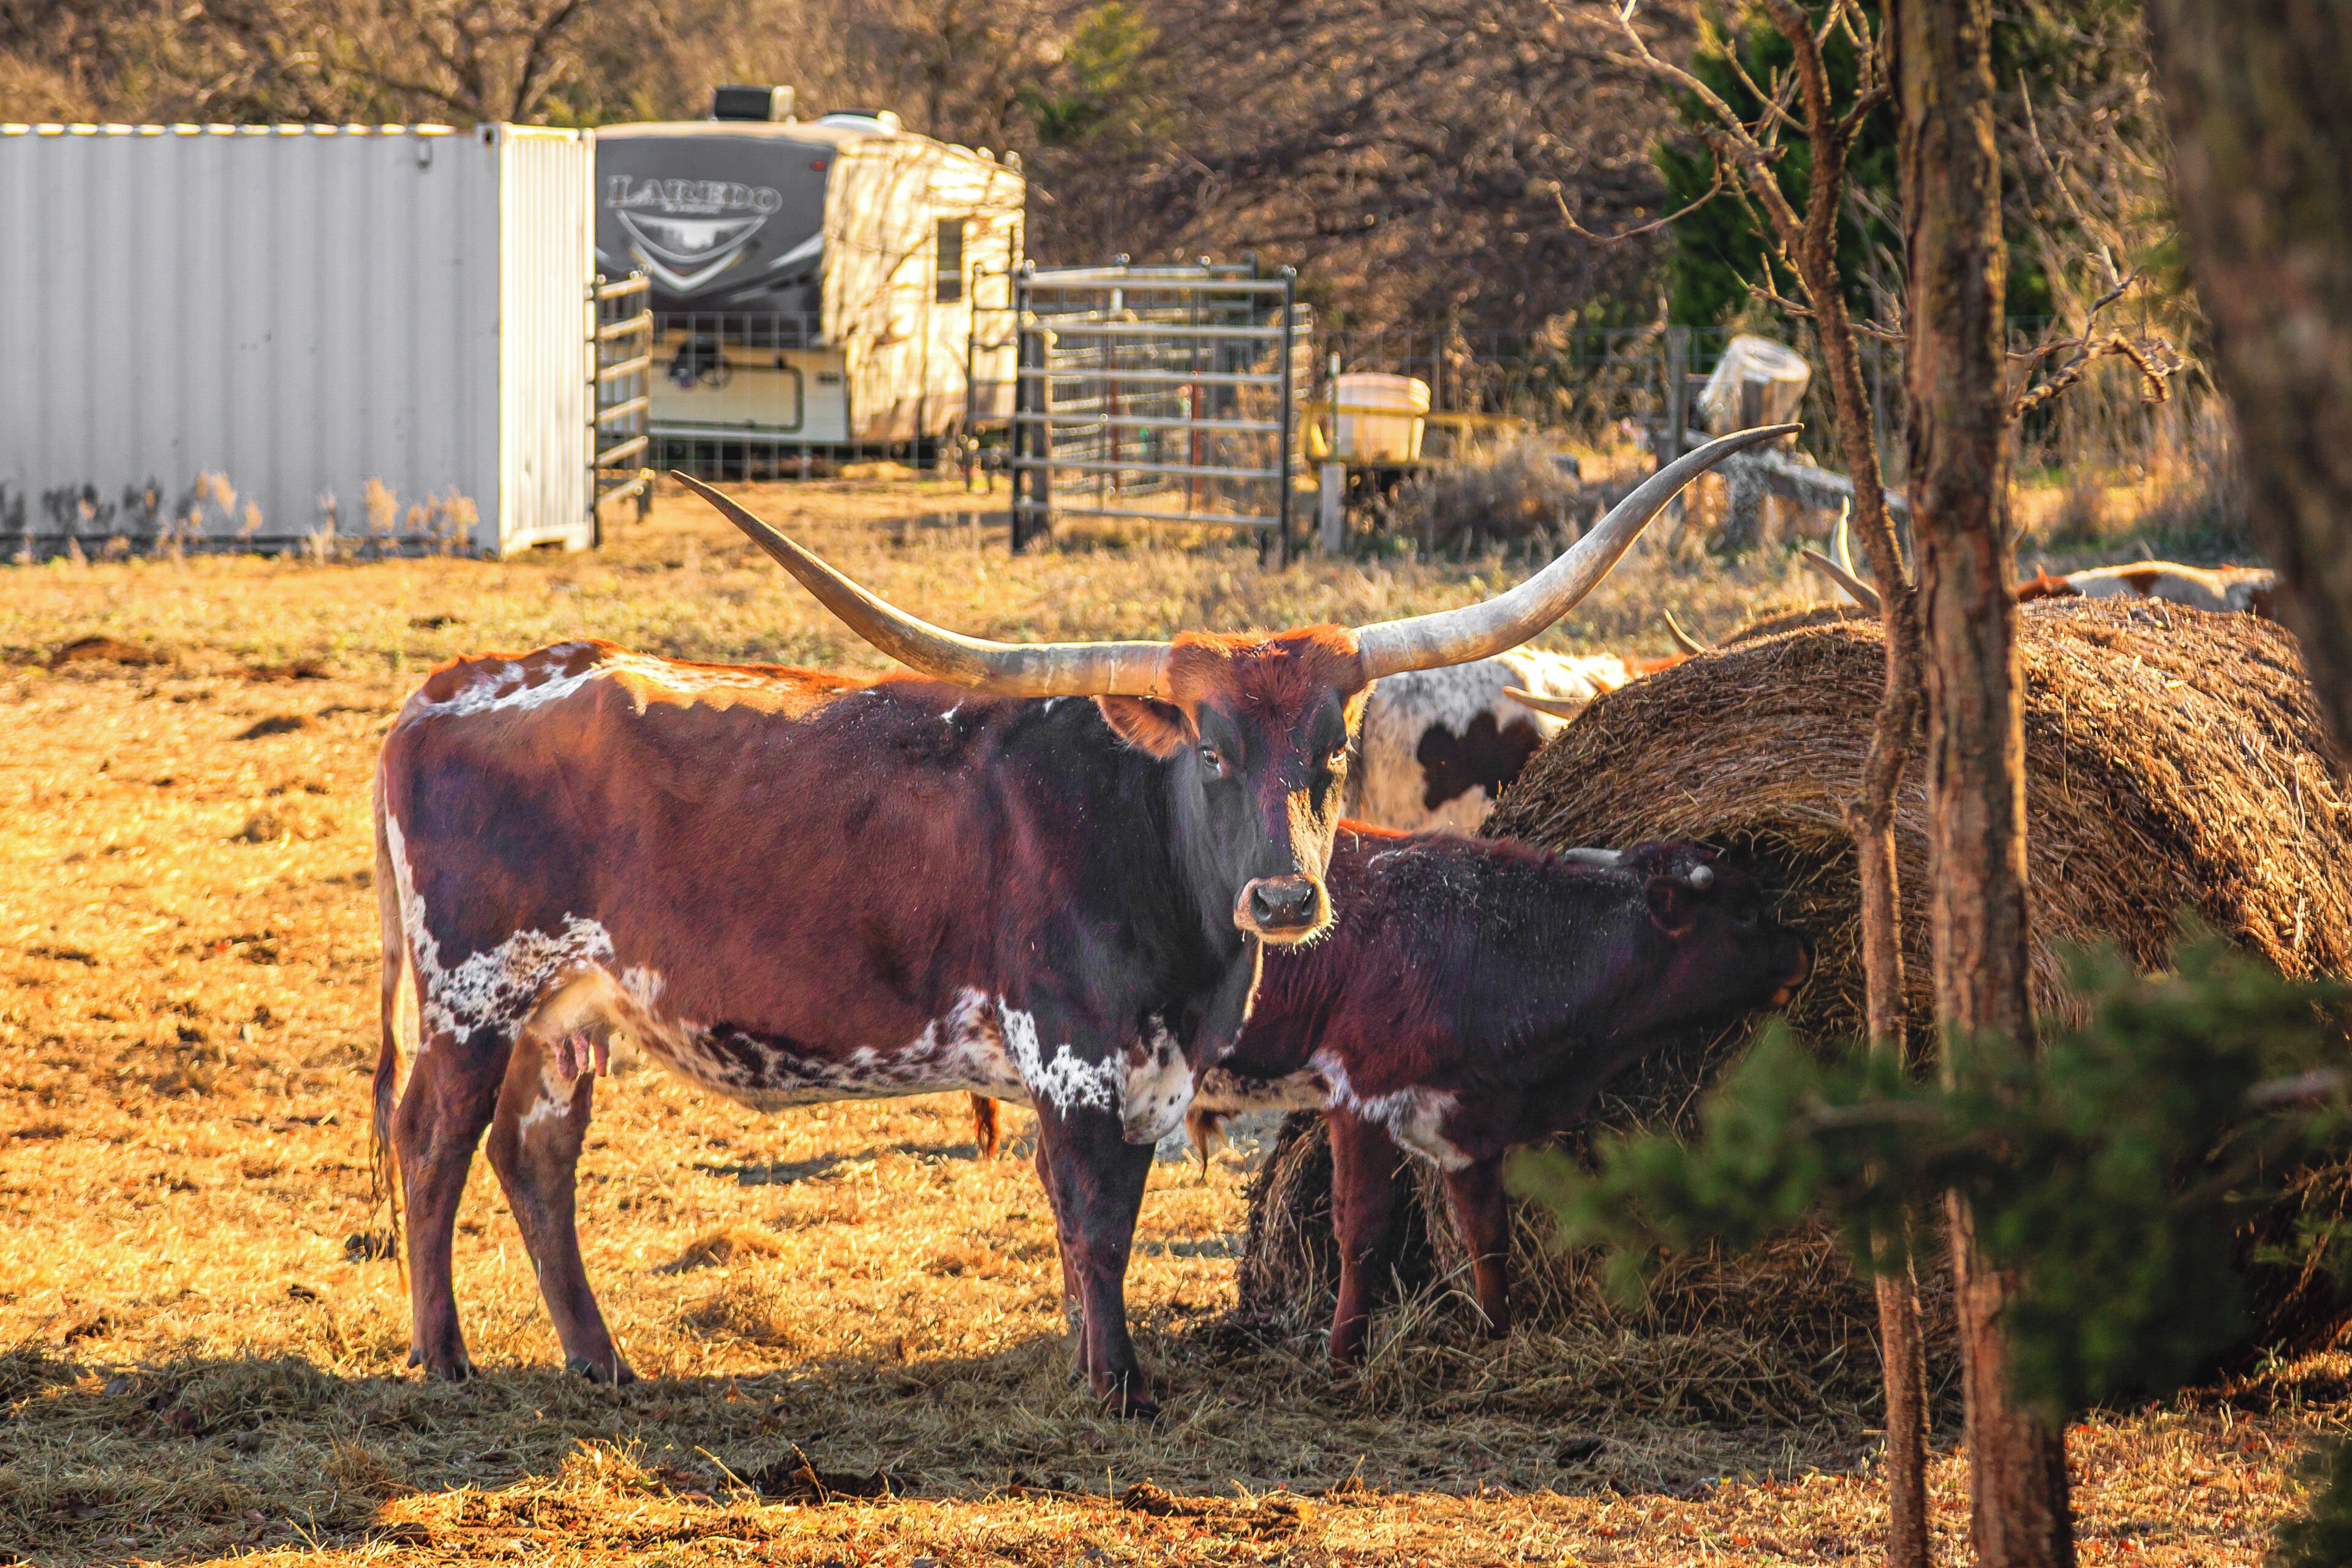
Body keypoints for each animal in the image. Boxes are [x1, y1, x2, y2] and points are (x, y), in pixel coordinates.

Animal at [369, 425, 1795, 1414]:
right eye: (1211, 750)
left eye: (1332, 750)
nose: (1288, 896)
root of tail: (445, 688)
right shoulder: (1081, 1053)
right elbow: (1099, 1221)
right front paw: (1116, 1386)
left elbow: (1087, 1223)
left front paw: (1091, 1365)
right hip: (472, 993)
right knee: (435, 1146)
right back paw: (444, 1356)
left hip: (568, 1009)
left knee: (537, 1157)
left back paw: (600, 1362)